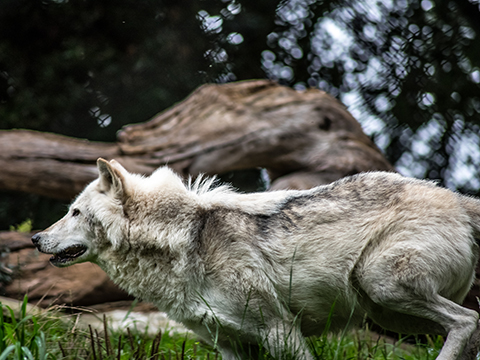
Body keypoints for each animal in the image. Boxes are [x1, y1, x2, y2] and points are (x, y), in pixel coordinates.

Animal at [32, 158, 480, 360]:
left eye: (74, 212)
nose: (36, 238)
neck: (180, 238)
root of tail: (458, 198)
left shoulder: (281, 330)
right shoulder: (230, 345)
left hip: (382, 287)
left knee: (466, 320)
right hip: (390, 313)